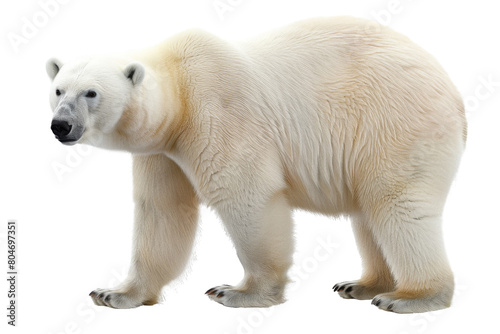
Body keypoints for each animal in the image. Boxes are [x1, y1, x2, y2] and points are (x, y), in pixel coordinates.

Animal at [46, 16, 464, 314]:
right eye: (58, 89)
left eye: (91, 93)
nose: (60, 125)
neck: (180, 88)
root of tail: (452, 90)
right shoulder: (162, 151)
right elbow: (162, 211)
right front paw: (114, 293)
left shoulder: (218, 111)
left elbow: (246, 195)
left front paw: (237, 291)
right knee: (369, 212)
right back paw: (362, 285)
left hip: (394, 121)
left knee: (396, 204)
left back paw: (409, 296)